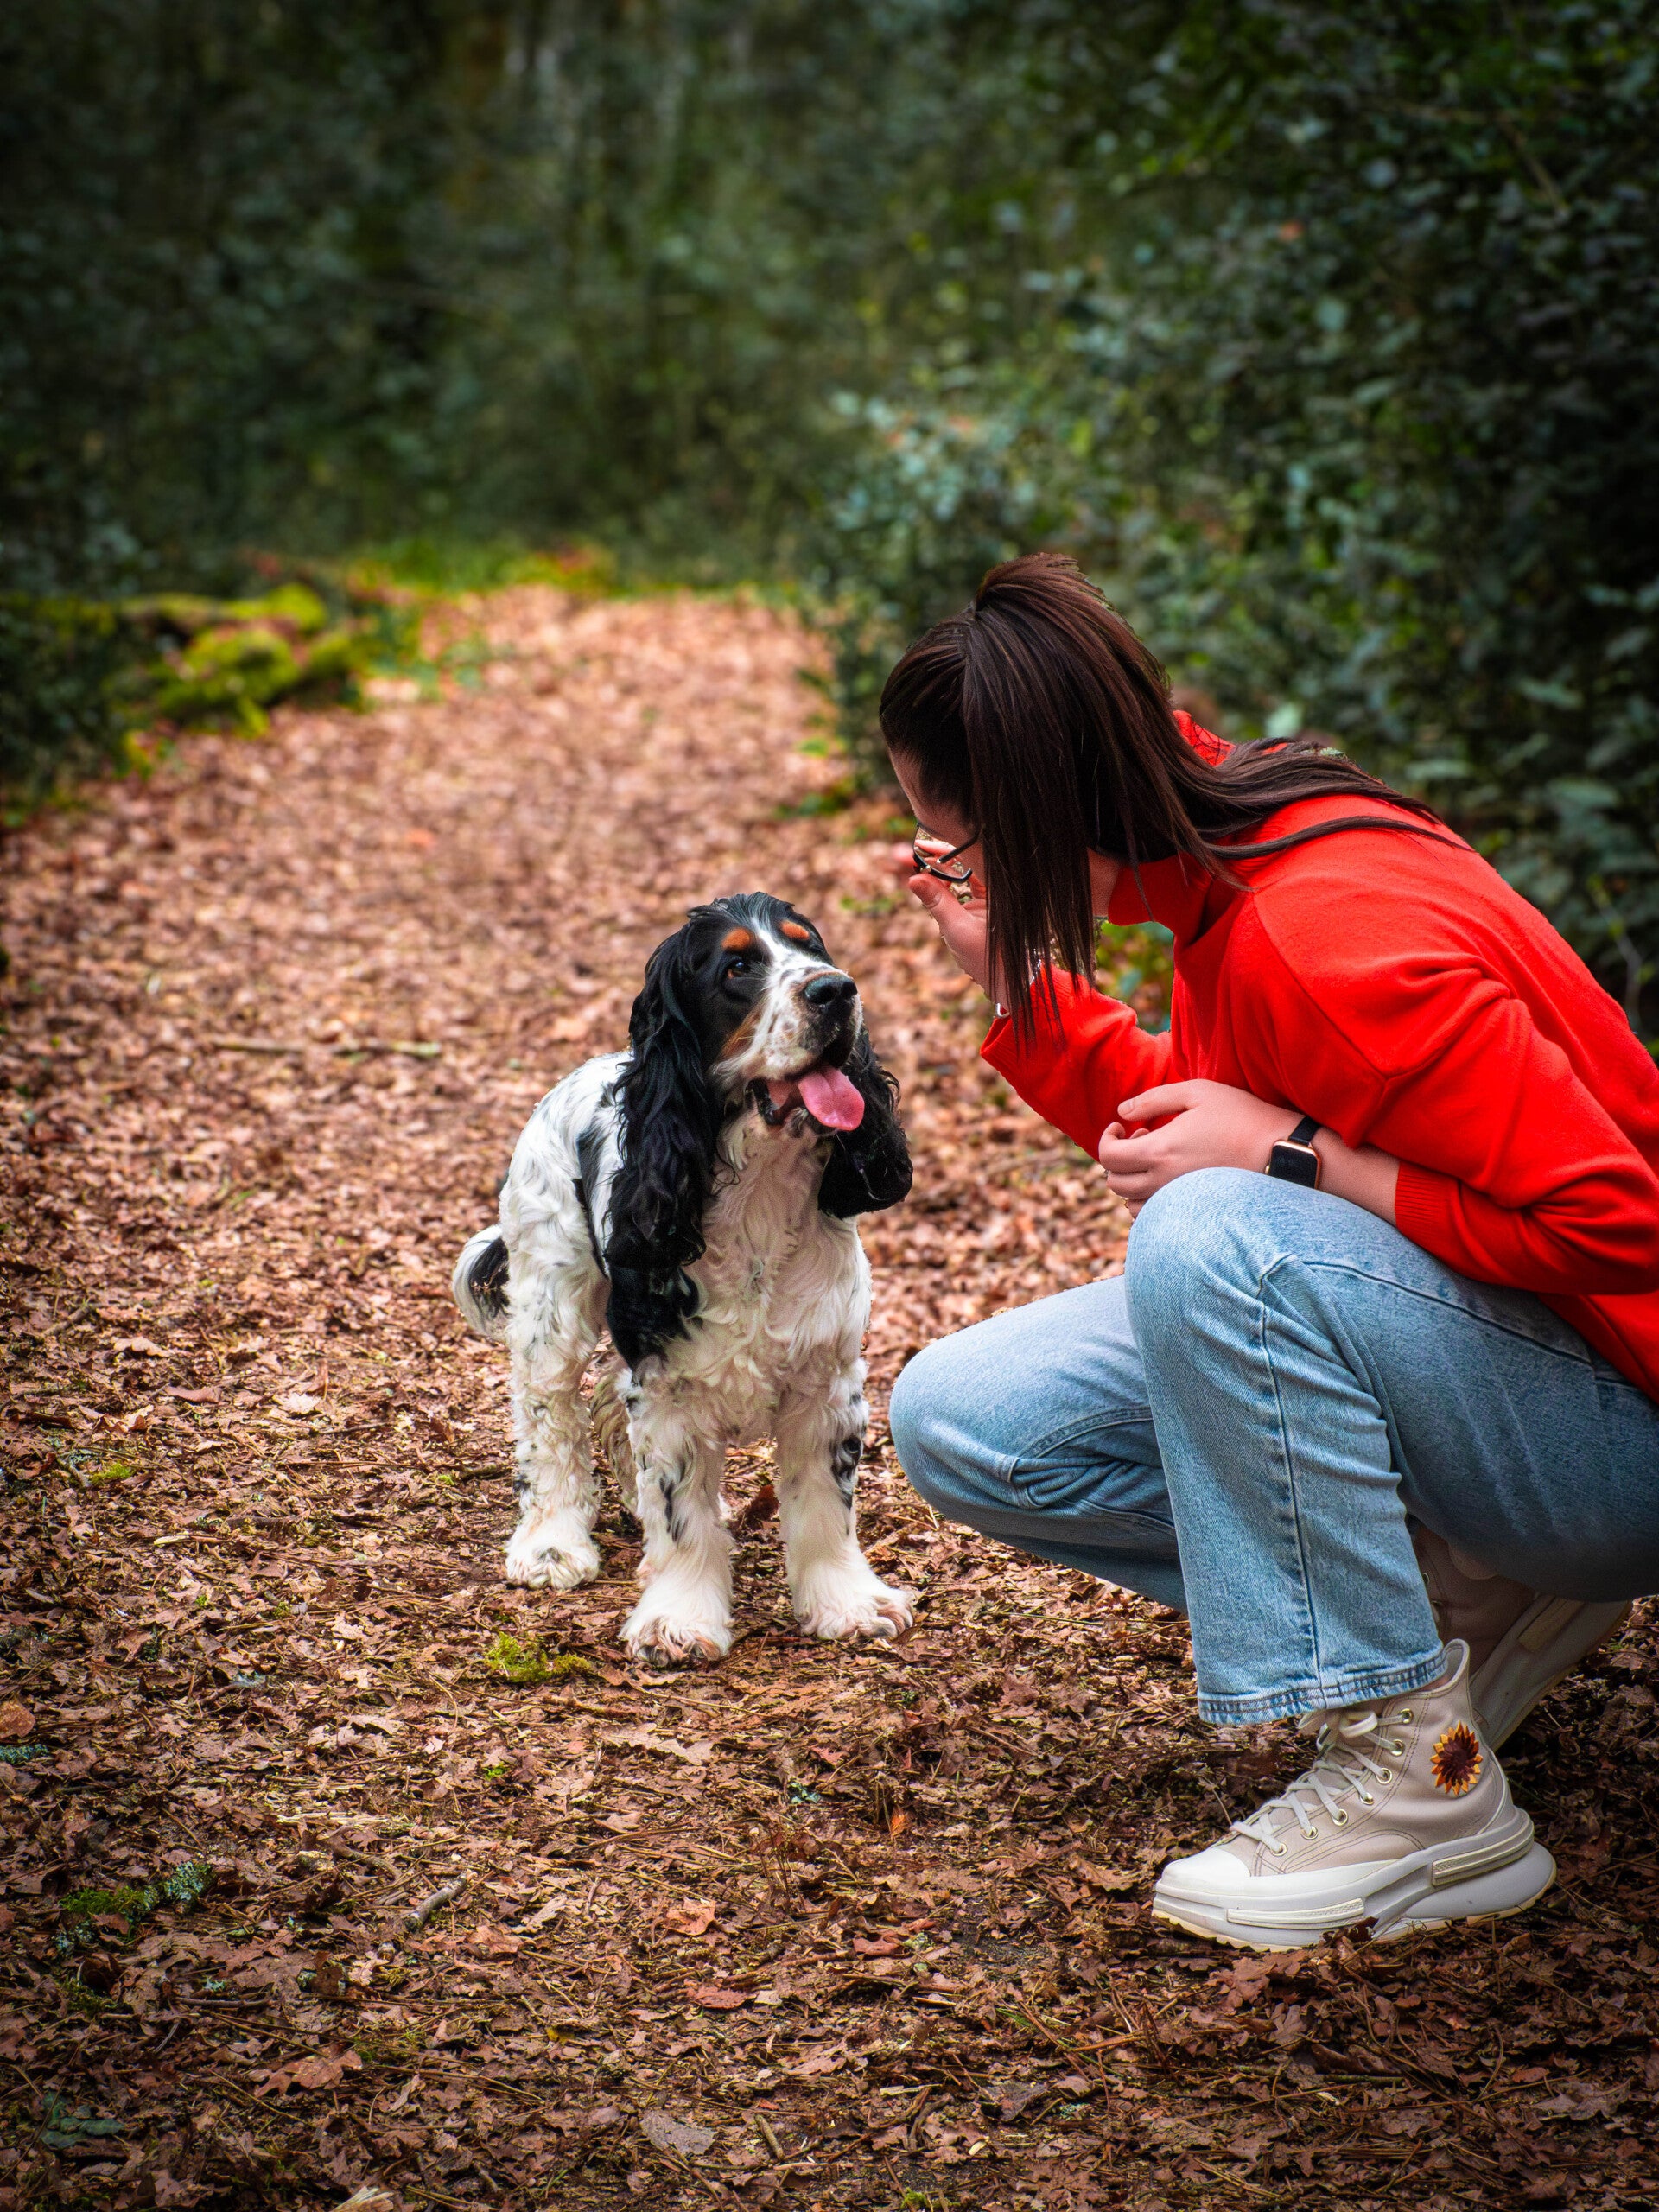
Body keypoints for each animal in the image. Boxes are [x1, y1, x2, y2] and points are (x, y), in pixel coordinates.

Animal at [452, 892, 915, 1664]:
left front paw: (846, 1604)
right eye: (736, 968)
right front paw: (680, 1619)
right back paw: (551, 1544)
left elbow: (826, 1507)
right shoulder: (668, 1385)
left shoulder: (825, 1381)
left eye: (811, 948)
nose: (837, 990)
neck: (758, 1191)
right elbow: (681, 1516)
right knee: (548, 1417)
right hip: (551, 1300)